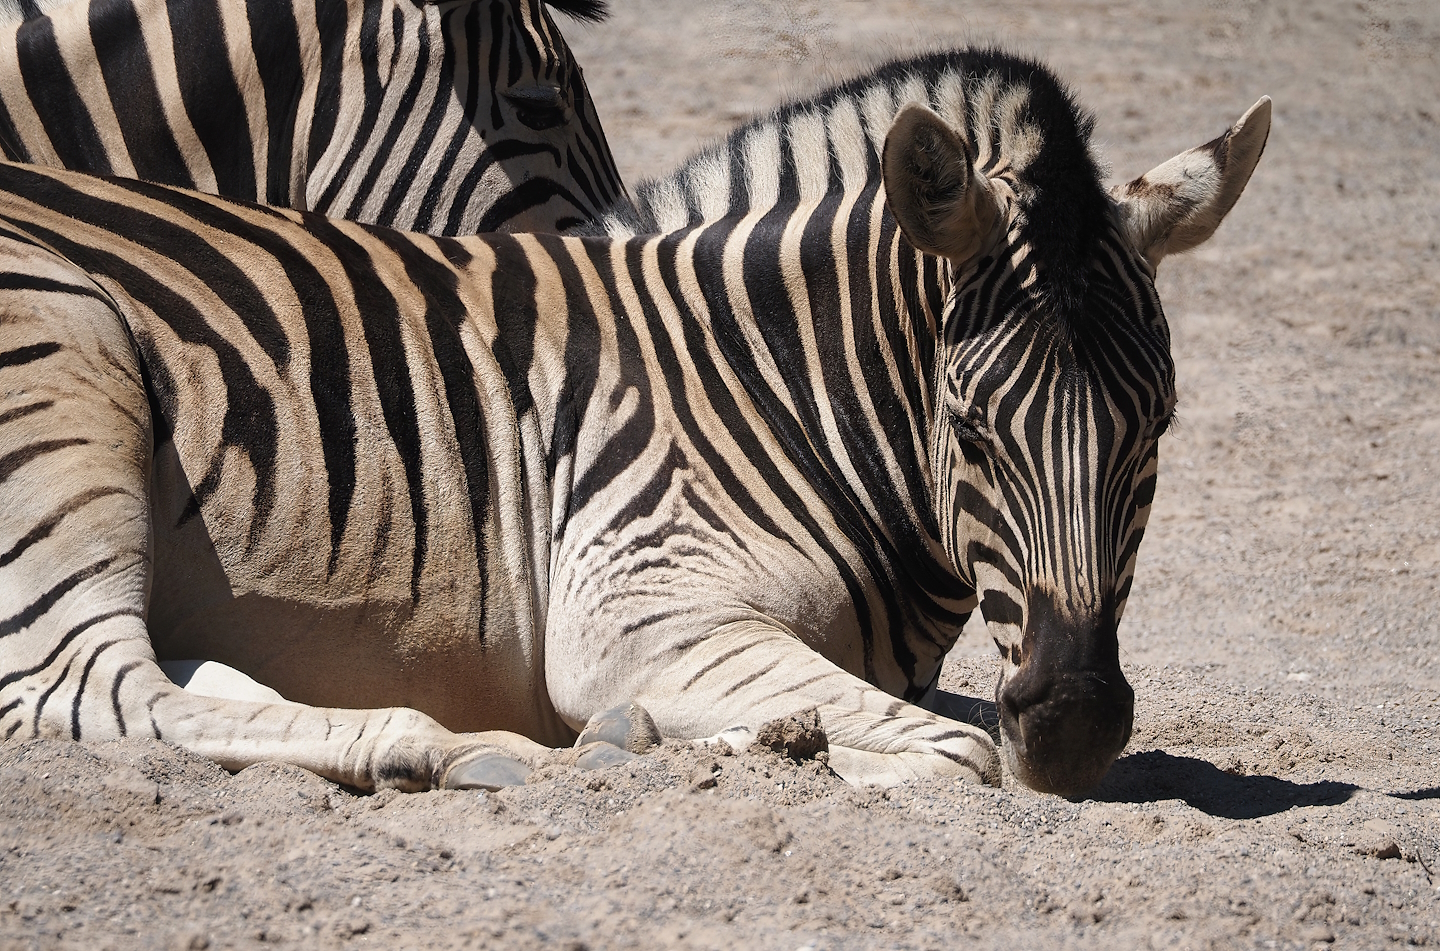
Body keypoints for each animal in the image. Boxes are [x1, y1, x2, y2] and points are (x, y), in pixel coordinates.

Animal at [0, 49, 1269, 794]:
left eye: (1159, 427)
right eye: (971, 427)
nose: (1075, 728)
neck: (771, 384)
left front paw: (710, 740)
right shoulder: (636, 603)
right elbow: (960, 756)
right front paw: (768, 749)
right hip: (65, 358)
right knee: (82, 690)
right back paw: (459, 751)